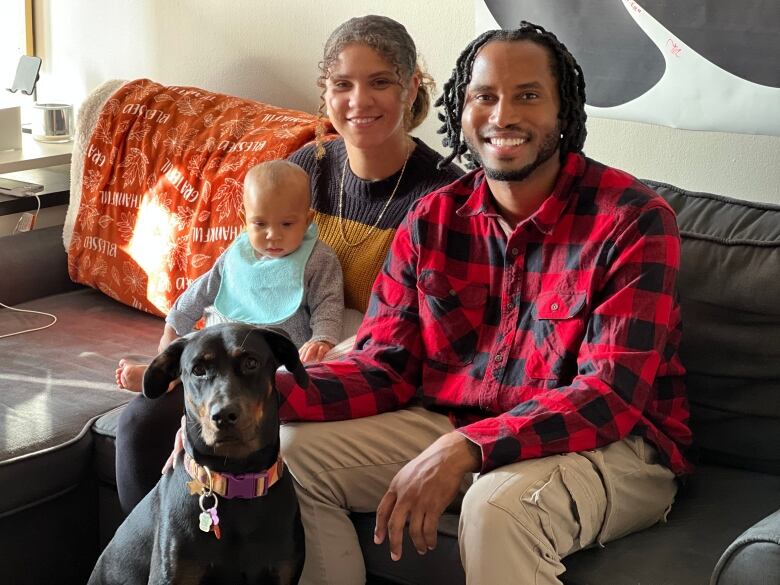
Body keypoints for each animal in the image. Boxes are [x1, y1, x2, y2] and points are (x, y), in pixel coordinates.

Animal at [90, 324, 308, 584]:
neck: (236, 478)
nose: (223, 415)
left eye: (251, 363)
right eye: (198, 370)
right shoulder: (176, 572)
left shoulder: (283, 570)